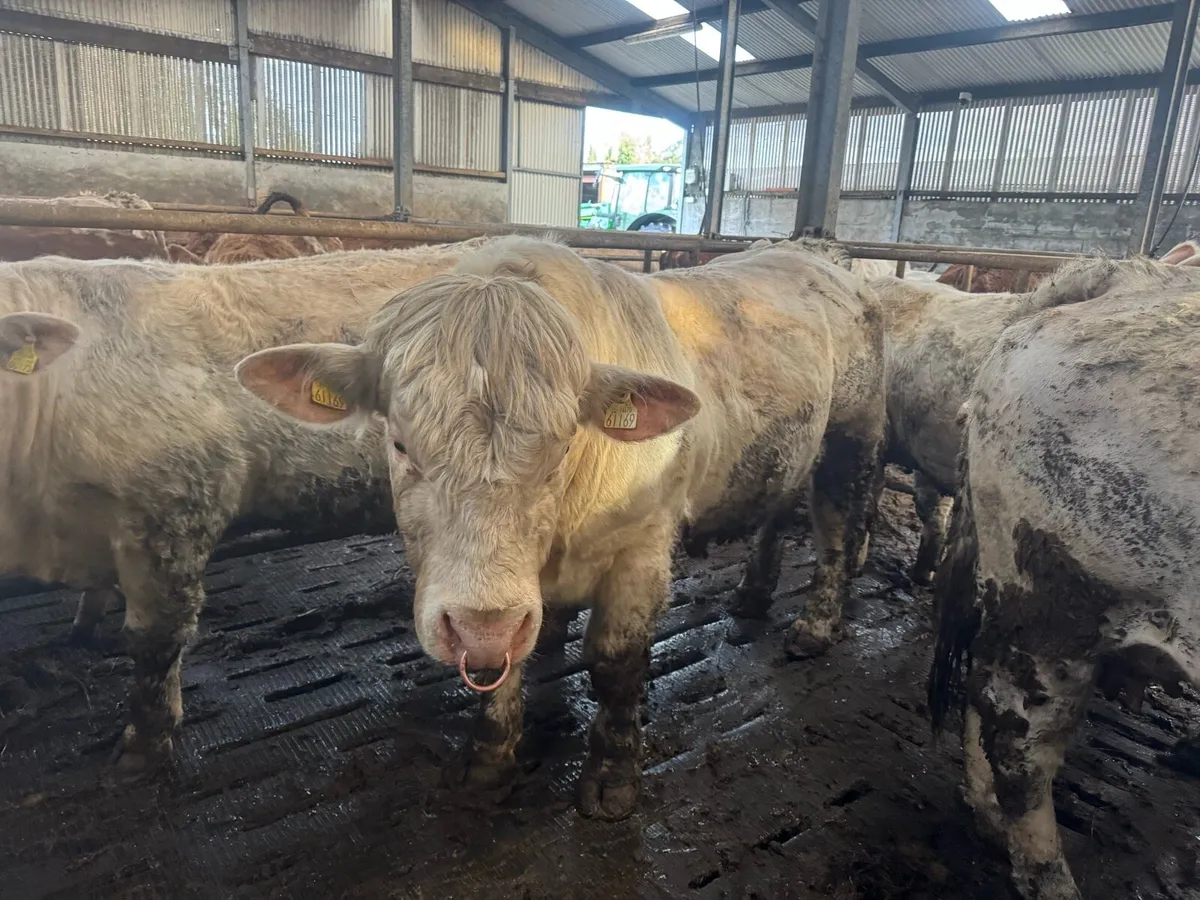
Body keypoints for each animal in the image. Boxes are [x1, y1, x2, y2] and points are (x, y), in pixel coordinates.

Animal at [235, 234, 887, 820]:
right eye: (398, 442)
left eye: (563, 445)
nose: (480, 627)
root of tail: (816, 254)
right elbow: (500, 666)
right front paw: (488, 763)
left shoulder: (643, 546)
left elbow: (615, 661)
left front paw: (612, 777)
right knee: (778, 507)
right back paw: (752, 594)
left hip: (851, 436)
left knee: (837, 529)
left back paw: (816, 625)